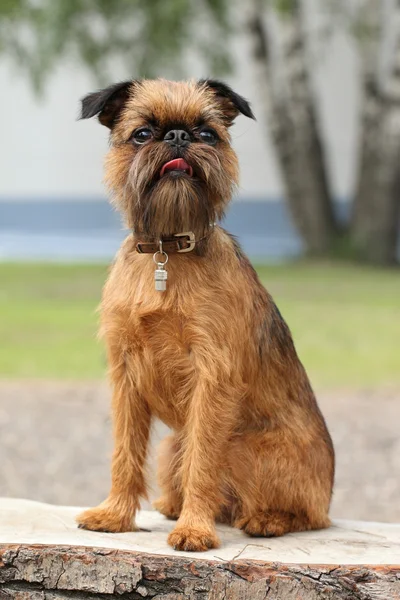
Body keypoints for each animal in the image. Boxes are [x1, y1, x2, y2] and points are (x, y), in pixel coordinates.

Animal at [76, 77, 334, 552]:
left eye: (207, 134)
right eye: (142, 134)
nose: (178, 136)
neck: (166, 252)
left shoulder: (212, 377)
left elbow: (203, 459)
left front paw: (195, 529)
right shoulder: (125, 376)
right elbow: (125, 451)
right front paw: (116, 515)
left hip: (248, 448)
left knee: (306, 515)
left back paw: (265, 519)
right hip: (169, 447)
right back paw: (172, 505)